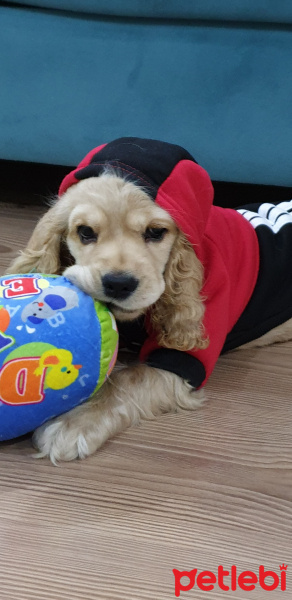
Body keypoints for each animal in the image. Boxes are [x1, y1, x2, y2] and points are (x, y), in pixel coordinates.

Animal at [8, 138, 292, 462]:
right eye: (85, 232)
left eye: (156, 232)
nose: (119, 283)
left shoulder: (179, 361)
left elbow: (126, 379)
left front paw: (72, 422)